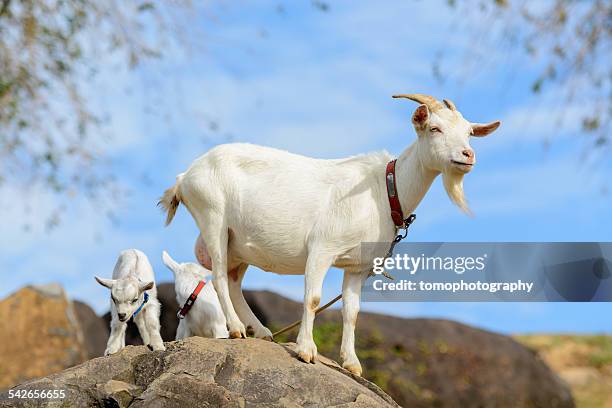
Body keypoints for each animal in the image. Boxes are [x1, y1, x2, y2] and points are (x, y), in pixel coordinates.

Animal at [160, 94, 500, 374]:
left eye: (469, 132)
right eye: (435, 128)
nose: (467, 155)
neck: (383, 190)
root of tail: (185, 176)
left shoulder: (357, 266)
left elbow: (351, 312)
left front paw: (351, 363)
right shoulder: (322, 249)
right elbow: (313, 299)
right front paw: (306, 350)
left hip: (237, 243)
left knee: (233, 282)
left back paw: (262, 332)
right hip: (213, 217)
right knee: (218, 277)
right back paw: (235, 329)